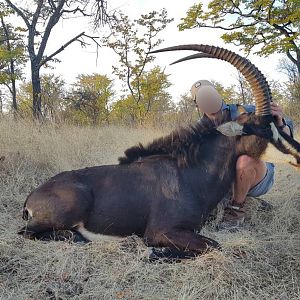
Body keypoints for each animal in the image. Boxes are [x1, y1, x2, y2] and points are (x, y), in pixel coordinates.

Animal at [19, 45, 300, 258]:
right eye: (261, 129)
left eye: (279, 123)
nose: (298, 155)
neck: (190, 174)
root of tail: (32, 196)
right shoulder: (160, 232)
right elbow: (214, 246)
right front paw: (155, 252)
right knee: (32, 234)